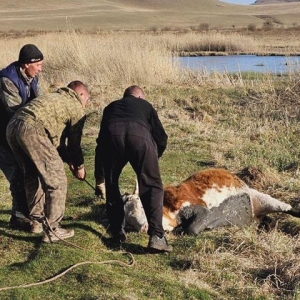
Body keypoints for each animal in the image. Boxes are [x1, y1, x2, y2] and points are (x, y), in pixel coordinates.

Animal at [122, 169, 300, 234]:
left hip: (262, 198)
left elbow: (192, 229)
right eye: (128, 222)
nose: (143, 227)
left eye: (141, 206)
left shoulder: (199, 209)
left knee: (286, 207)